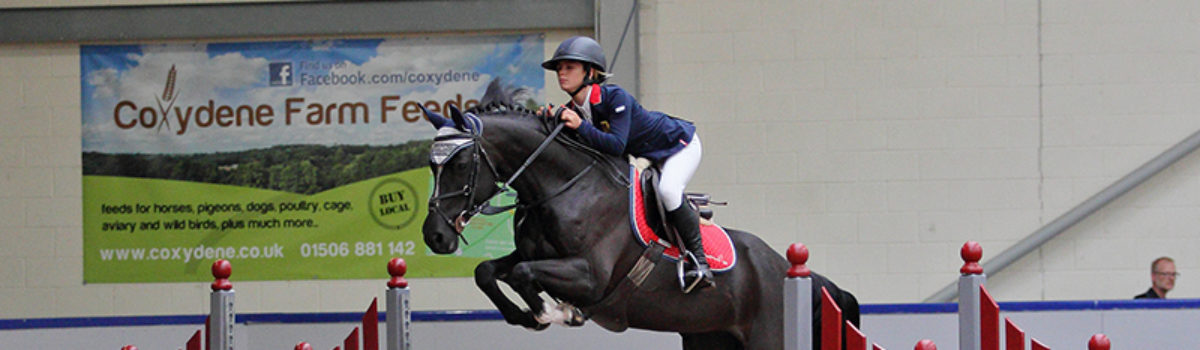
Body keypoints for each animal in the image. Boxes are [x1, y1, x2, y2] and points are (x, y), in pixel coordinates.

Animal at [422, 82, 854, 350]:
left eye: (460, 164)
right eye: (430, 164)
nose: (434, 237)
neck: (564, 186)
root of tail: (789, 268)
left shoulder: (591, 275)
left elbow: (523, 274)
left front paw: (555, 312)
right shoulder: (531, 254)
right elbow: (490, 271)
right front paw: (527, 317)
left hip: (767, 337)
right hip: (709, 336)